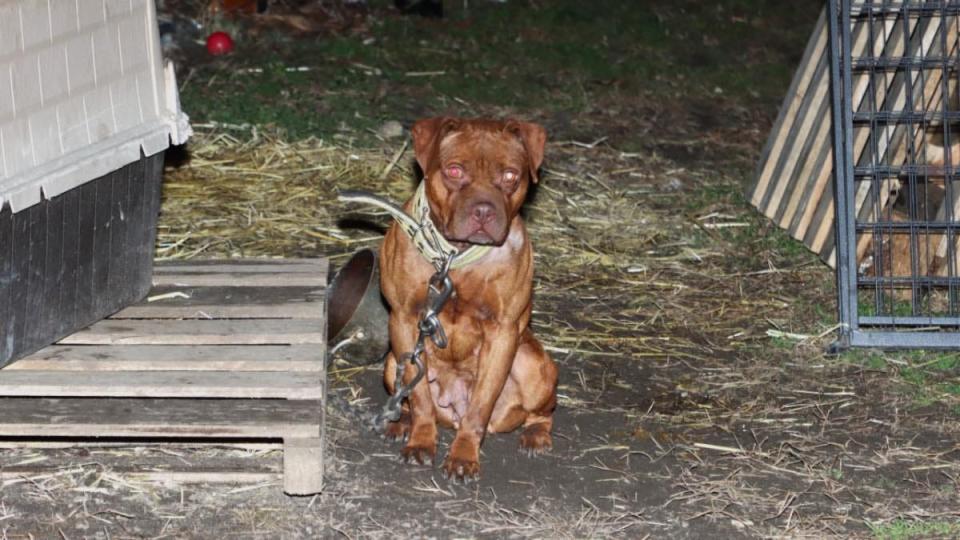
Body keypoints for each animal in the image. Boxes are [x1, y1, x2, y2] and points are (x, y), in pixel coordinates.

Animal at [378, 118, 560, 480]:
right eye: (454, 170)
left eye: (510, 175)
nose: (483, 211)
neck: (455, 256)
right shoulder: (404, 319)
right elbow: (419, 397)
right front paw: (421, 441)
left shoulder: (503, 333)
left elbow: (480, 405)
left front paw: (463, 456)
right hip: (392, 362)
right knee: (408, 395)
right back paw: (400, 422)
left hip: (535, 365)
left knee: (541, 412)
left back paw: (536, 435)